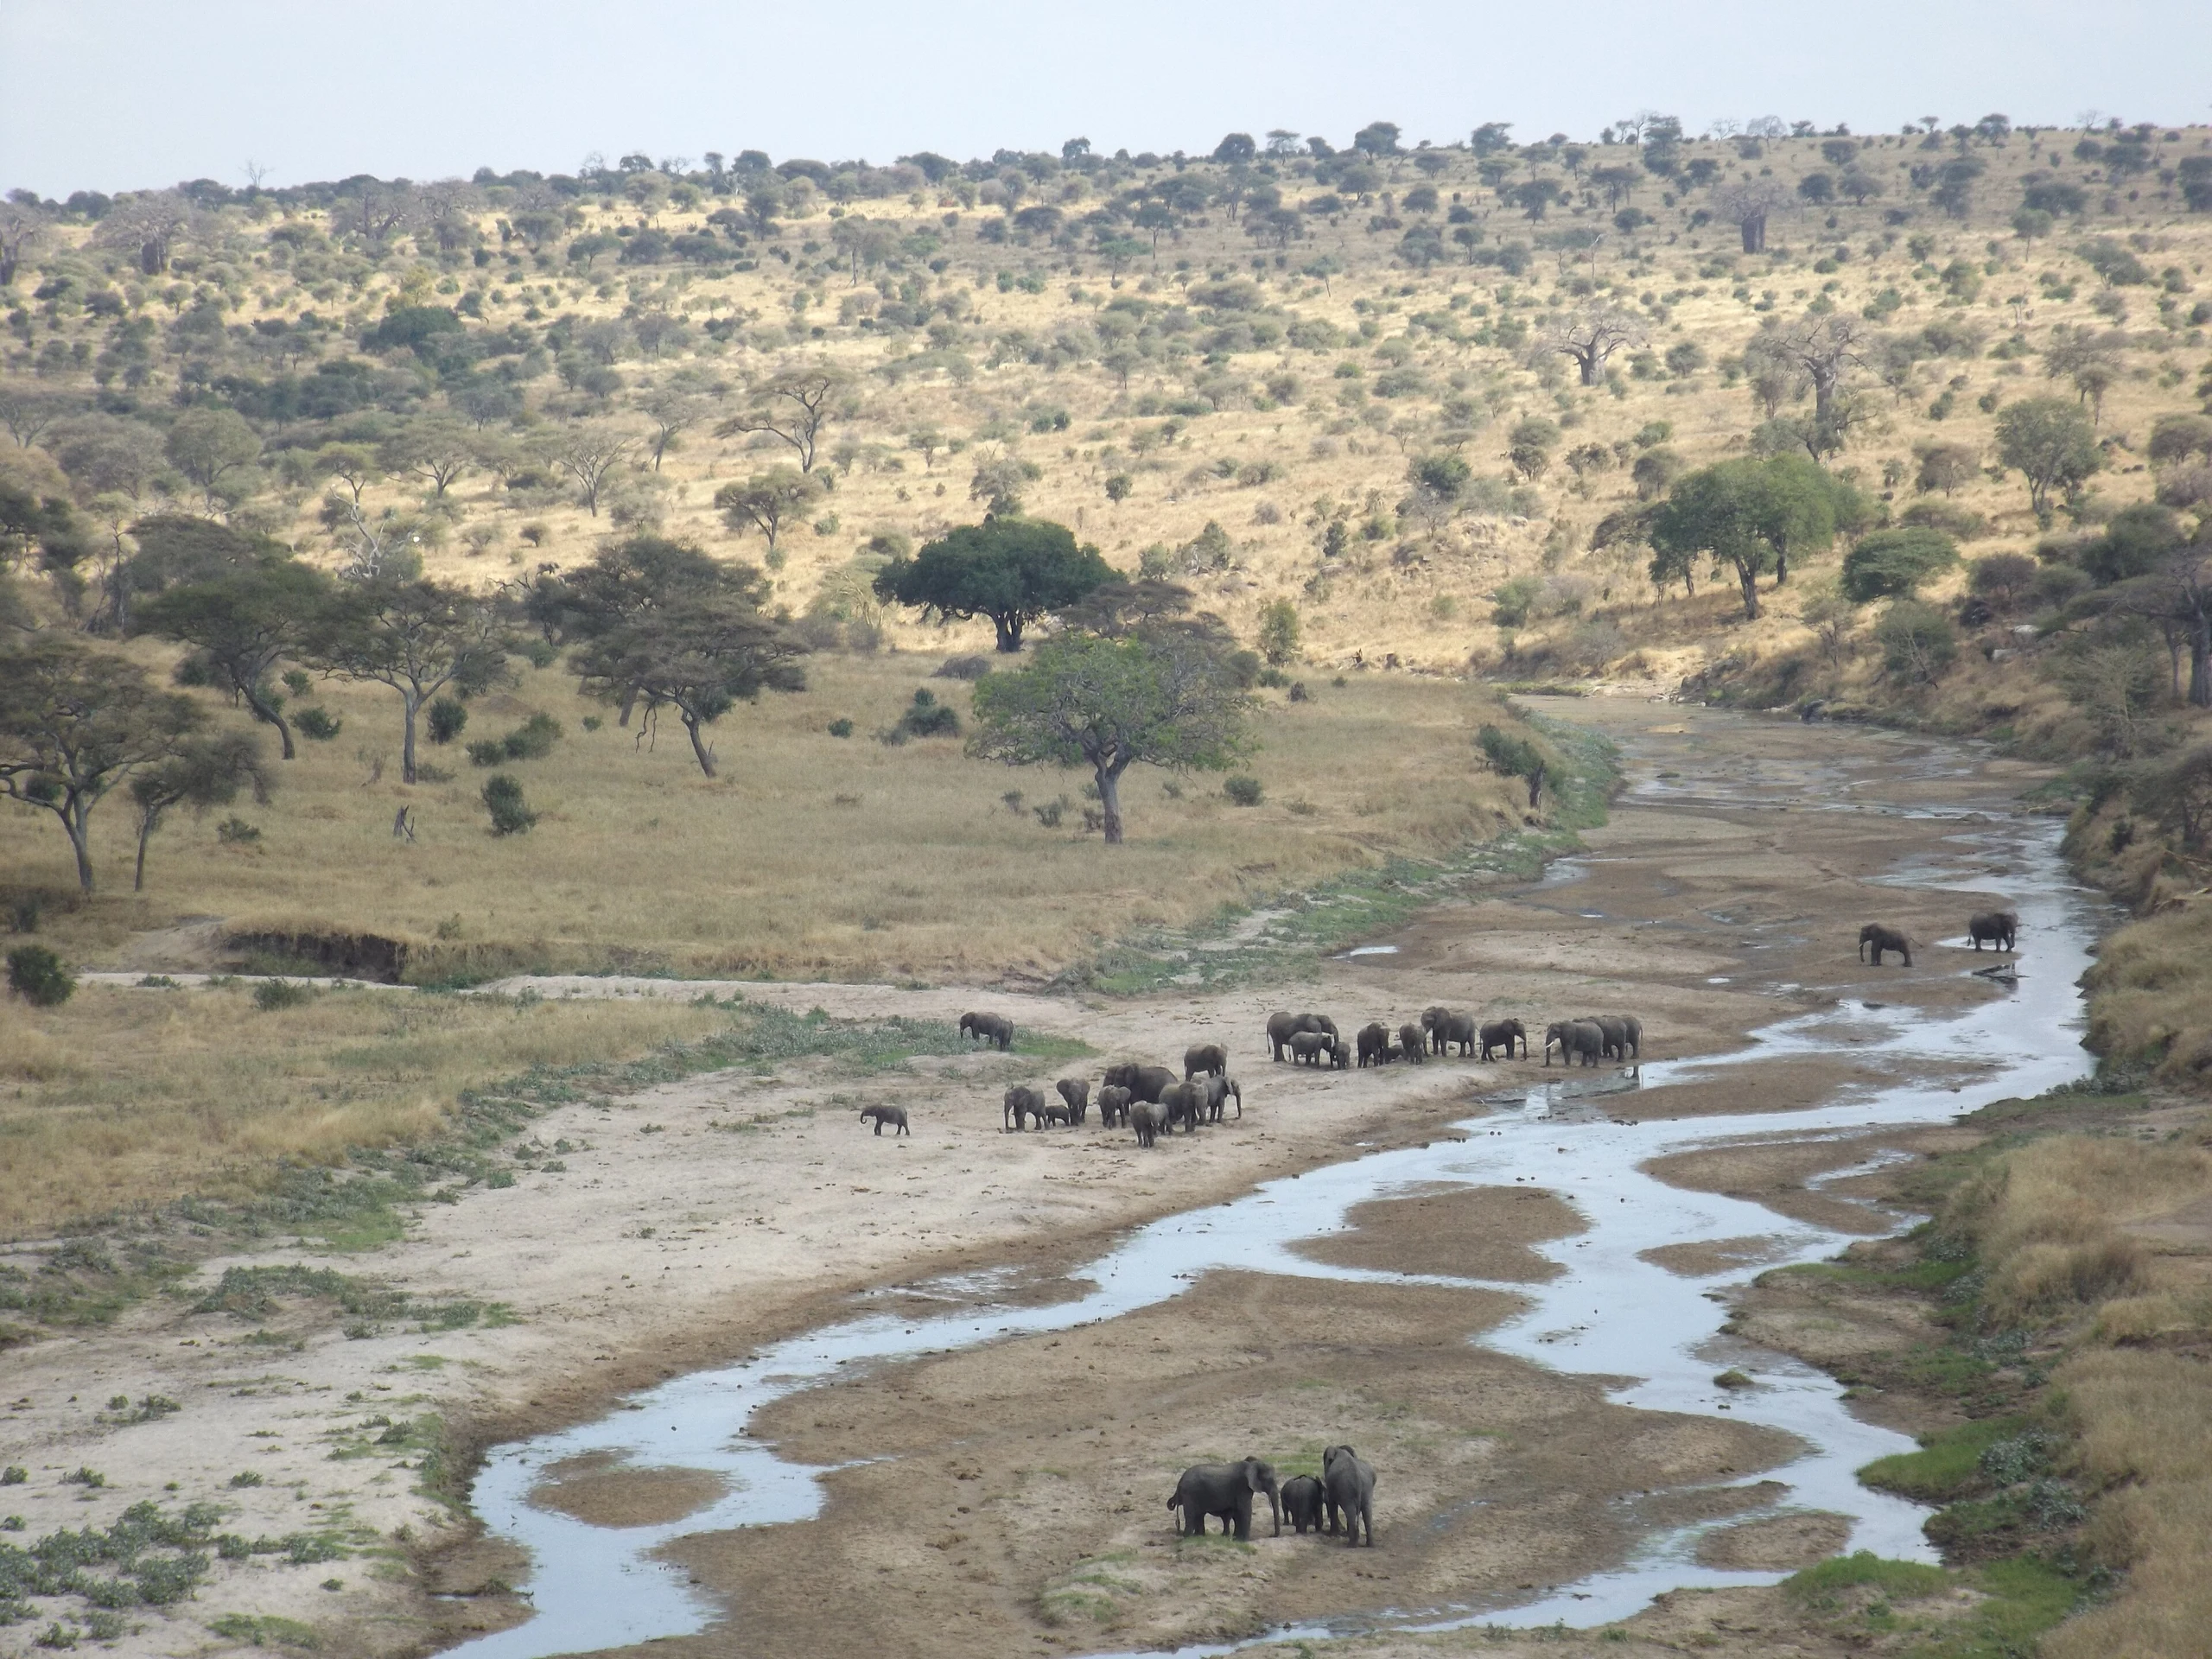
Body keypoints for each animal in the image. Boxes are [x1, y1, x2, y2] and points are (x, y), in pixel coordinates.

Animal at [1168, 1458, 1280, 1540]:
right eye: (1269, 1480)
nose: (1271, 1535)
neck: (1252, 1464)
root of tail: (1180, 1481)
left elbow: (1237, 1511)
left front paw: (1236, 1539)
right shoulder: (1242, 1487)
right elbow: (1245, 1509)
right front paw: (1244, 1541)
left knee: (1199, 1514)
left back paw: (1198, 1536)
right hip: (1190, 1493)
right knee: (1191, 1514)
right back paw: (1188, 1538)